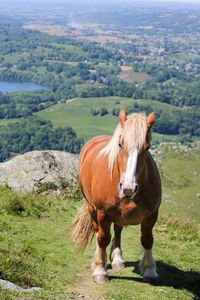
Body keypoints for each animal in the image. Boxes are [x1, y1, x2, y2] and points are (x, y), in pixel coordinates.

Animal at [69, 107, 162, 284]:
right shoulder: (103, 213)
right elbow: (103, 238)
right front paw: (100, 270)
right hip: (92, 208)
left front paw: (149, 270)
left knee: (118, 230)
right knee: (98, 231)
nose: (128, 189)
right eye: (120, 144)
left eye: (147, 148)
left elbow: (147, 240)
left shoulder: (152, 215)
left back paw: (117, 259)